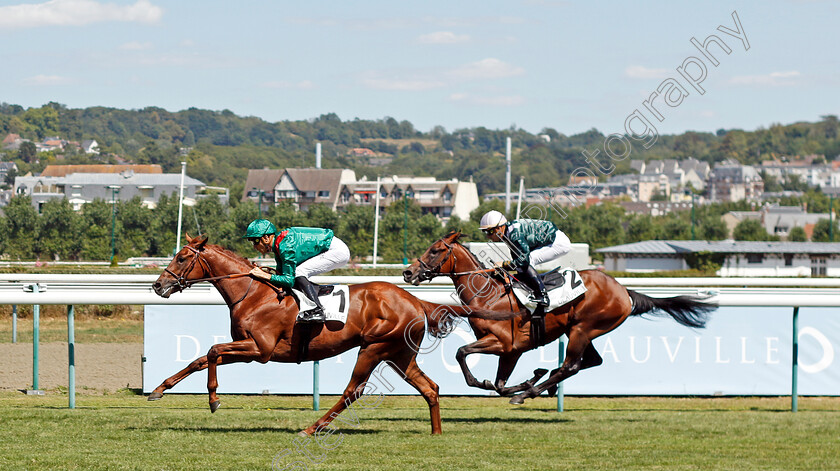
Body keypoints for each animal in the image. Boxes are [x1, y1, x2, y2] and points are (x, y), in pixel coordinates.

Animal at [149, 234, 512, 436]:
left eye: (183, 257)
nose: (157, 285)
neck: (253, 293)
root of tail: (414, 299)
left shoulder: (259, 349)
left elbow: (211, 351)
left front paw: (213, 399)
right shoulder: (248, 347)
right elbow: (199, 358)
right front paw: (158, 389)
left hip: (373, 348)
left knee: (353, 391)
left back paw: (313, 428)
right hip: (399, 354)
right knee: (430, 388)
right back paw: (436, 432)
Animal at [402, 232, 716, 406]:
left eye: (435, 250)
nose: (408, 273)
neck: (489, 295)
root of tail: (624, 291)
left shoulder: (505, 344)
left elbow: (462, 353)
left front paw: (523, 385)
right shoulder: (511, 351)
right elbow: (499, 384)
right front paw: (526, 380)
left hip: (583, 329)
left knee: (572, 365)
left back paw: (534, 390)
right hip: (580, 331)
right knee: (590, 361)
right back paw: (545, 383)